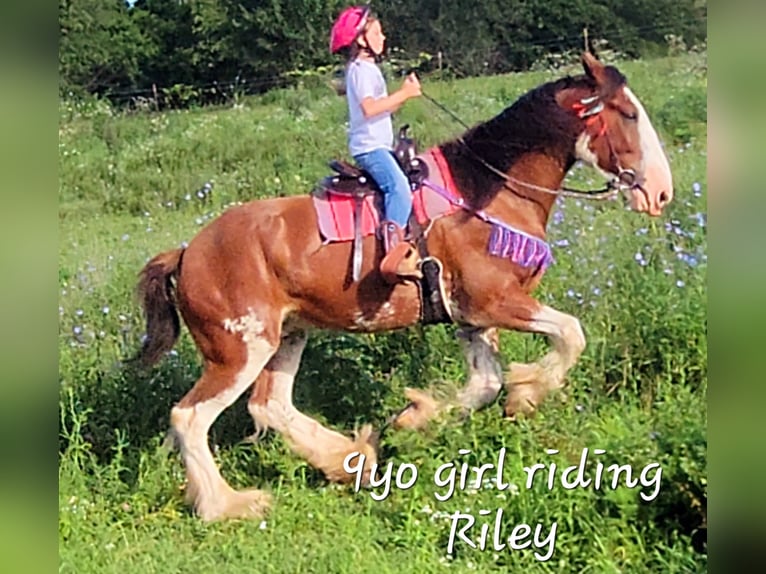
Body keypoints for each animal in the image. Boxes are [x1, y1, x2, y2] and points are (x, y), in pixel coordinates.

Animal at [136, 53, 672, 520]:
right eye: (627, 112)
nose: (661, 191)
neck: (485, 192)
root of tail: (186, 253)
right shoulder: (495, 301)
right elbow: (570, 334)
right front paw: (527, 393)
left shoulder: (470, 317)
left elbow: (485, 383)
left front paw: (411, 420)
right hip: (238, 351)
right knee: (190, 417)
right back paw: (227, 505)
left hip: (287, 337)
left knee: (270, 405)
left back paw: (349, 460)